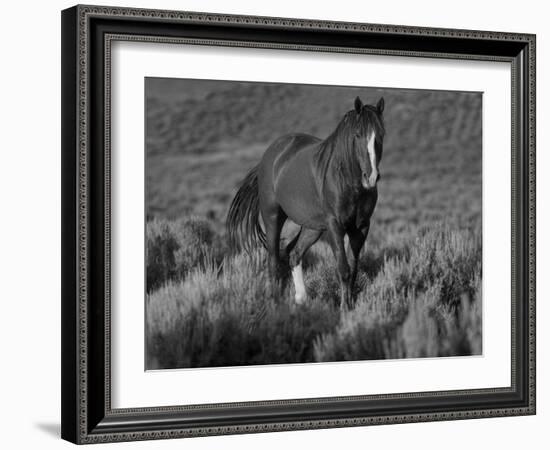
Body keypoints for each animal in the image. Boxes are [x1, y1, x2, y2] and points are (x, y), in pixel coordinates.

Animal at [226, 96, 386, 310]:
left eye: (381, 135)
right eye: (358, 134)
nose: (371, 177)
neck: (347, 181)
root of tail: (270, 155)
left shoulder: (360, 227)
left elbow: (353, 269)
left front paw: (350, 305)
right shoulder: (335, 226)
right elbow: (343, 268)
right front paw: (344, 308)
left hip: (313, 227)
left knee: (294, 254)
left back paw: (301, 299)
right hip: (273, 217)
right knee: (274, 260)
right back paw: (275, 302)